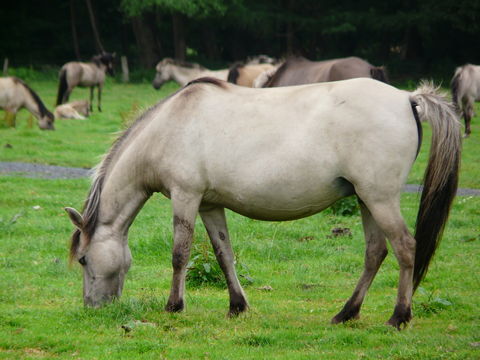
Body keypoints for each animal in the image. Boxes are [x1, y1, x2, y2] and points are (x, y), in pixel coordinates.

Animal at [66, 77, 462, 330]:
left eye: (84, 260)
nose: (93, 307)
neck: (170, 125)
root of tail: (406, 97)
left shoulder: (186, 196)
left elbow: (180, 254)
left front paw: (174, 306)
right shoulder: (209, 205)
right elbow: (223, 254)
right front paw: (237, 307)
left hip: (379, 199)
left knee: (406, 248)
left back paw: (399, 316)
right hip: (367, 200)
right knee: (375, 252)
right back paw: (346, 314)